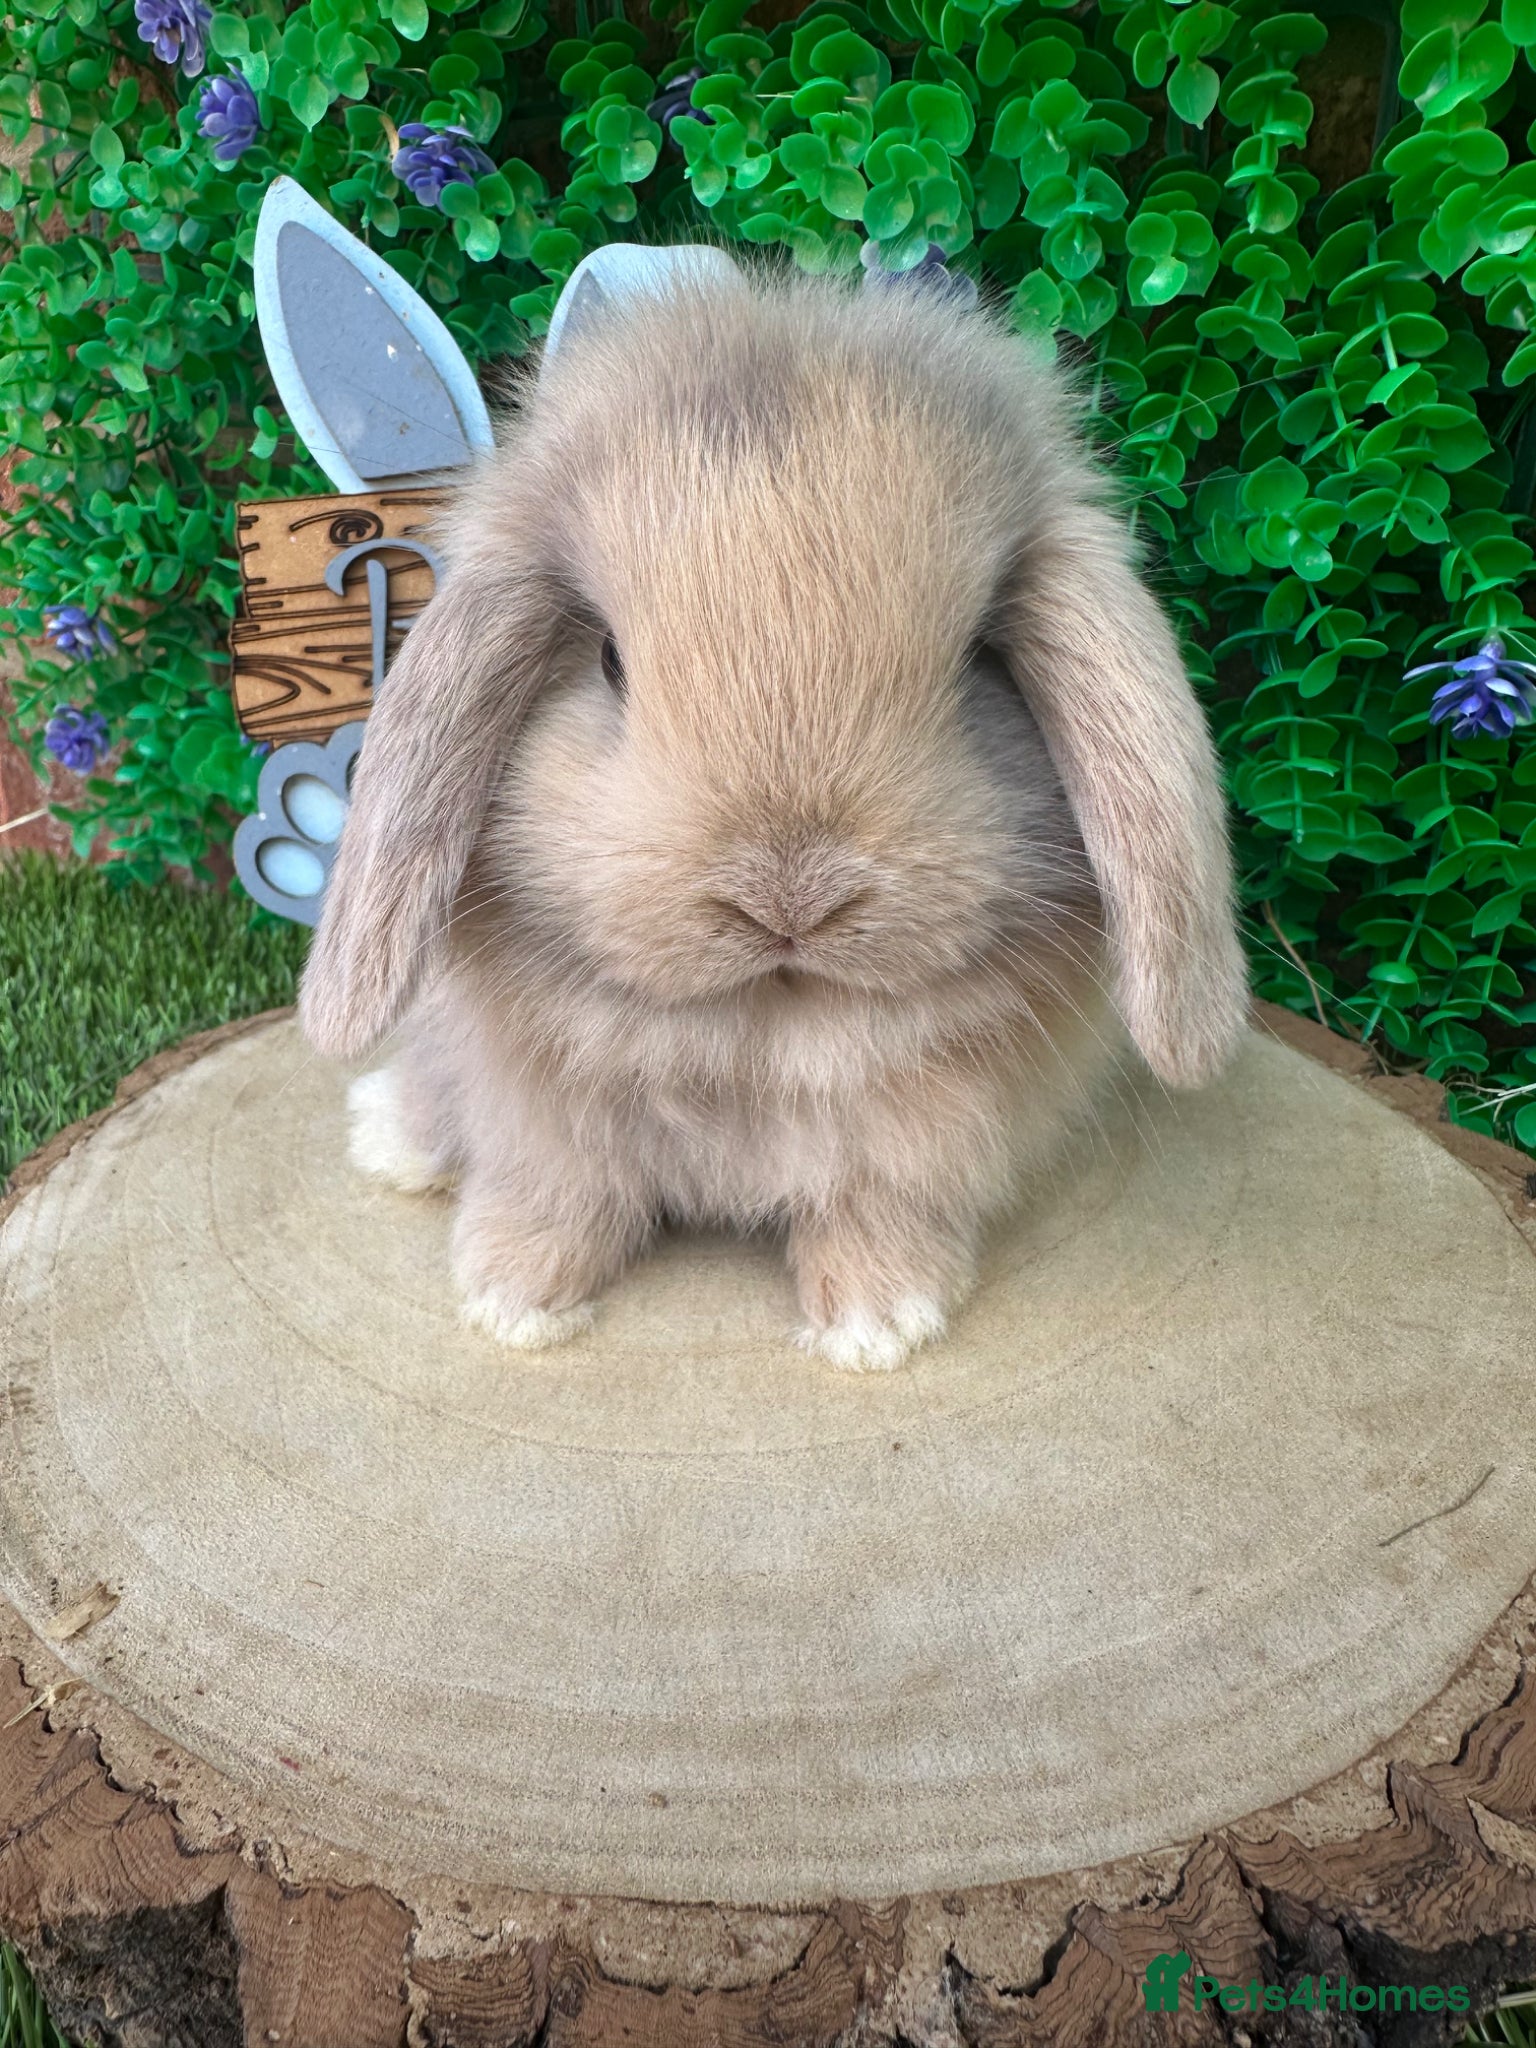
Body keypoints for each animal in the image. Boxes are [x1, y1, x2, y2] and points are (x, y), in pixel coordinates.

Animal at [298, 249, 1249, 1371]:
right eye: (610, 661)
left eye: (978, 660)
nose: (788, 898)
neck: (760, 1033)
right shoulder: (546, 1129)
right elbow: (556, 1198)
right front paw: (511, 1302)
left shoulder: (912, 1152)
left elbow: (875, 1214)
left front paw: (880, 1325)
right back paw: (391, 1134)